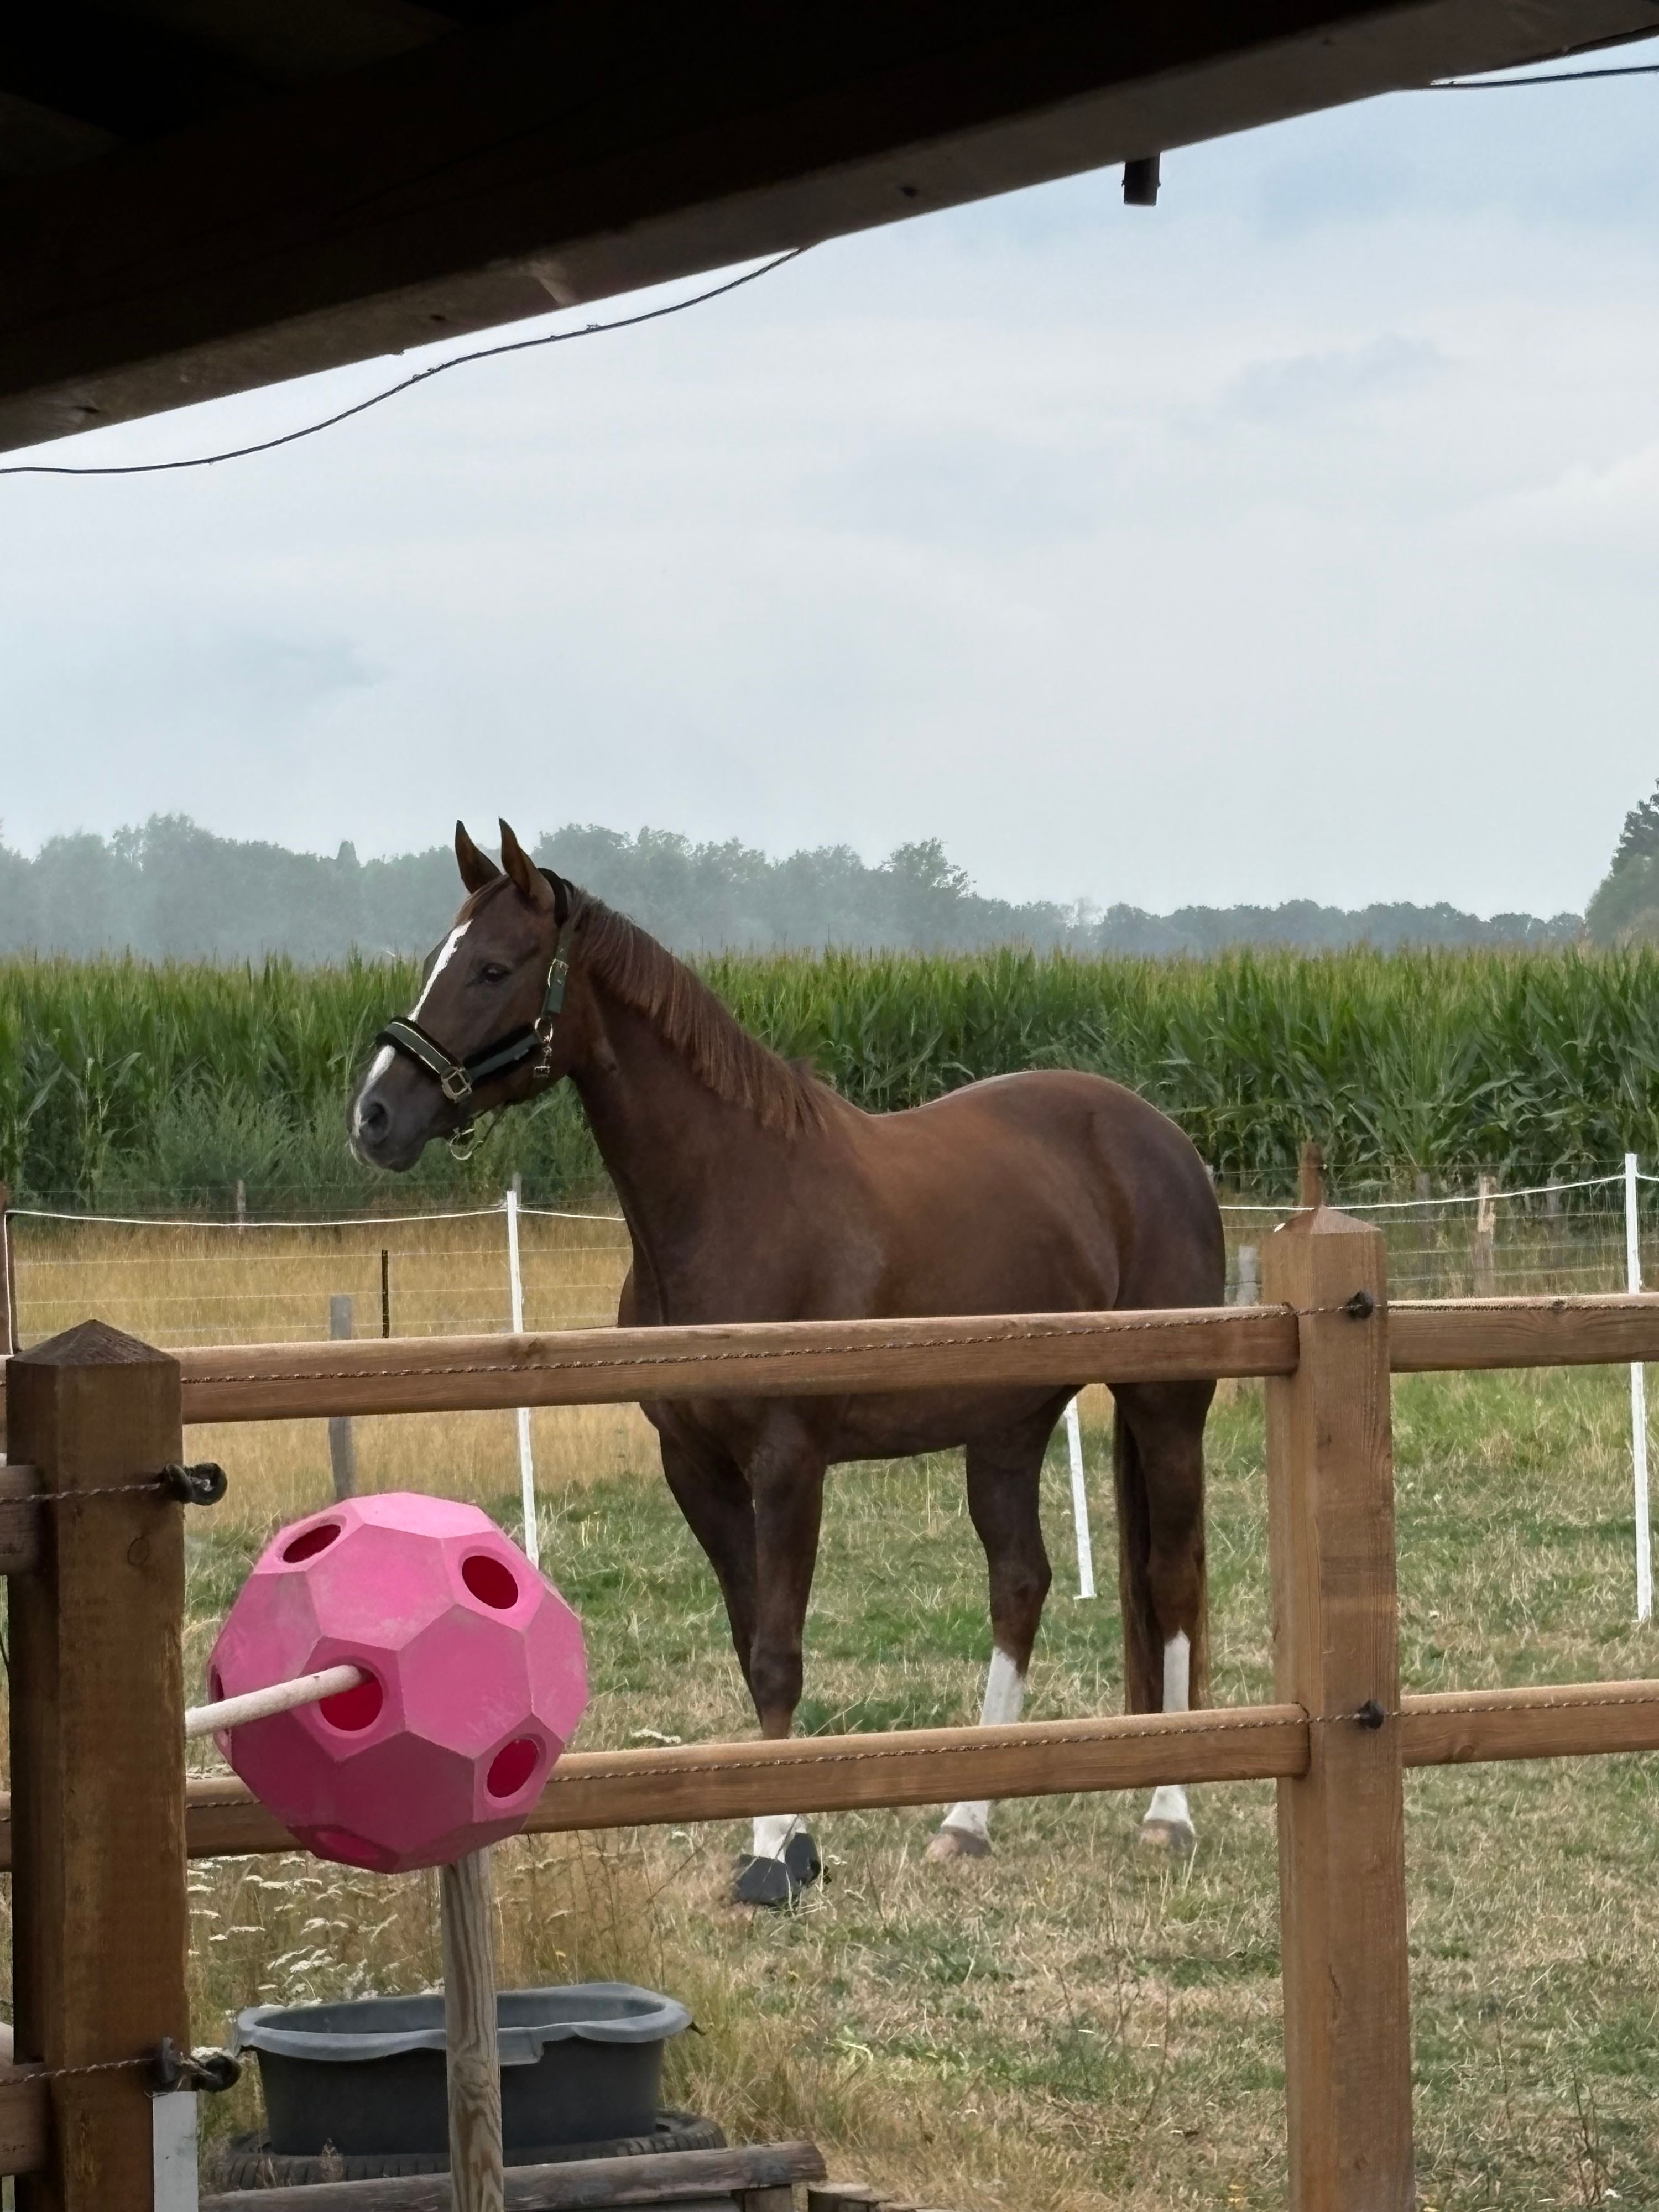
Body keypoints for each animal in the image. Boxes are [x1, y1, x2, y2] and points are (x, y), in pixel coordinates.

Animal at [350, 821, 1225, 1902]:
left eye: (493, 968)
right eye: (439, 956)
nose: (375, 1116)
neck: (735, 1201)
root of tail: (1162, 1139)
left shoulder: (788, 1464)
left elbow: (777, 1654)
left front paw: (774, 1859)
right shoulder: (696, 1469)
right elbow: (748, 1642)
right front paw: (788, 1842)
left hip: (1165, 1405)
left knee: (1171, 1576)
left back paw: (1168, 1811)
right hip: (1008, 1426)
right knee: (1020, 1584)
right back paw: (966, 1823)